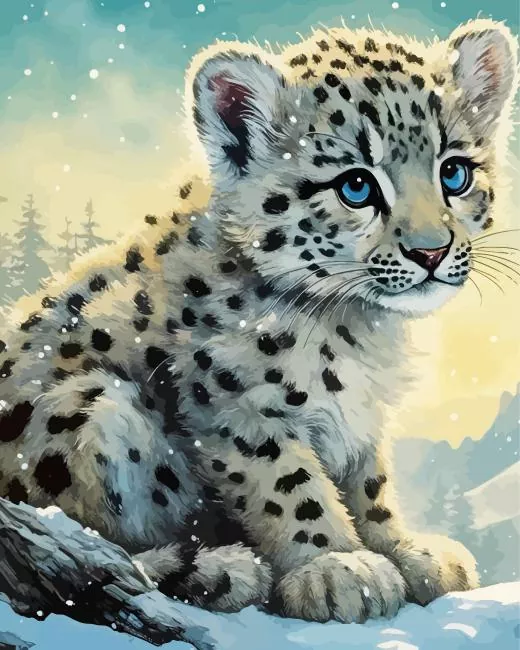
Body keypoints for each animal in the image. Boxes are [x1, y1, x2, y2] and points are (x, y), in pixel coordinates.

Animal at [0, 18, 517, 624]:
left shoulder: (359, 419)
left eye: (454, 172)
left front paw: (406, 550)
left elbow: (369, 484)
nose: (431, 251)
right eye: (356, 185)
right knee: (100, 546)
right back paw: (222, 570)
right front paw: (337, 567)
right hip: (84, 408)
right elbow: (290, 485)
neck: (361, 329)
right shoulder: (239, 409)